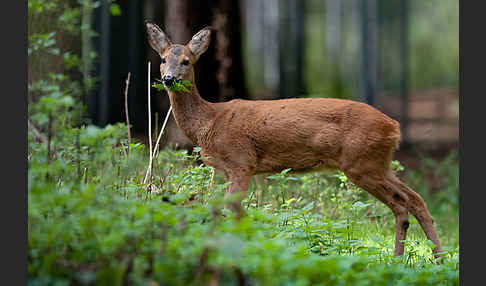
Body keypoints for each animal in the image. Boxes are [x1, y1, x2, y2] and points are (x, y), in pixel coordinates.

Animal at [145, 20, 444, 260]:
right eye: (162, 59)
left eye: (186, 61)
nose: (168, 79)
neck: (210, 122)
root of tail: (394, 127)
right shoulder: (227, 169)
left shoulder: (241, 161)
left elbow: (232, 208)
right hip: (380, 163)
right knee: (415, 199)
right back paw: (426, 259)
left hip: (361, 163)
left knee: (401, 203)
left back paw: (411, 258)